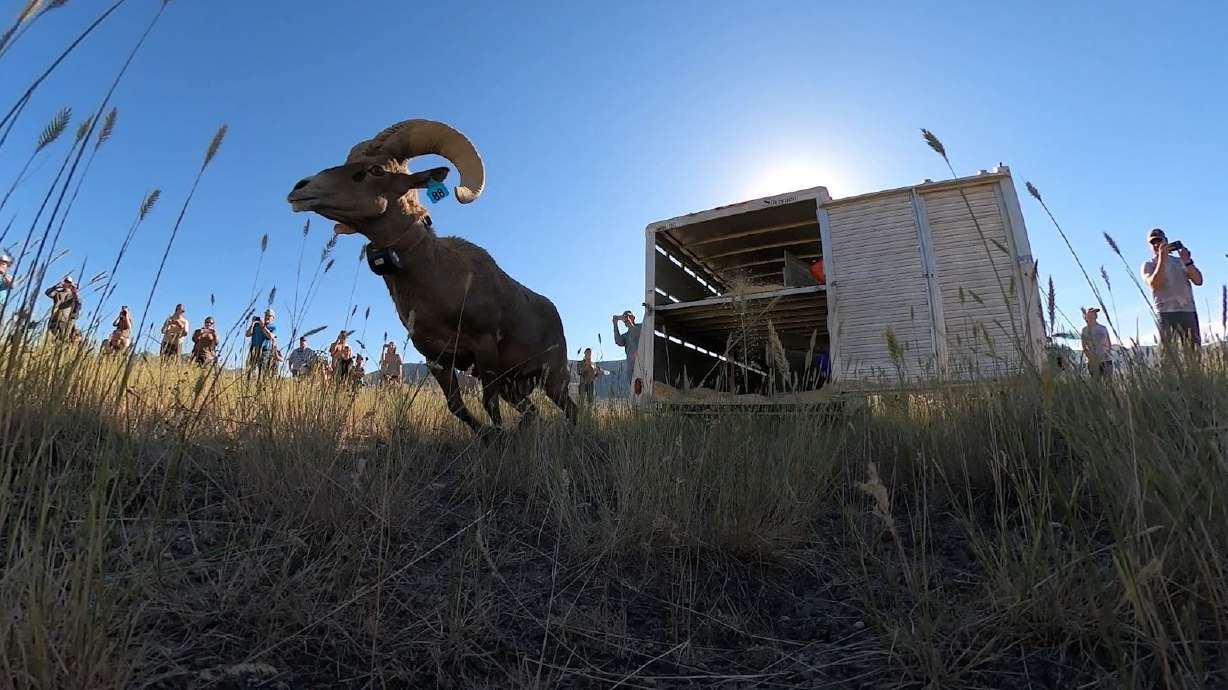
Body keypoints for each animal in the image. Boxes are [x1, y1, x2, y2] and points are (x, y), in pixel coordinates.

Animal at [287, 118, 577, 432]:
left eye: (377, 170)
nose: (301, 188)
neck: (438, 282)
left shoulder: (485, 349)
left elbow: (488, 405)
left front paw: (497, 435)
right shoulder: (437, 360)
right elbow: (457, 407)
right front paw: (488, 435)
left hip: (553, 378)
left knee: (570, 409)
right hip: (516, 387)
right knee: (532, 412)